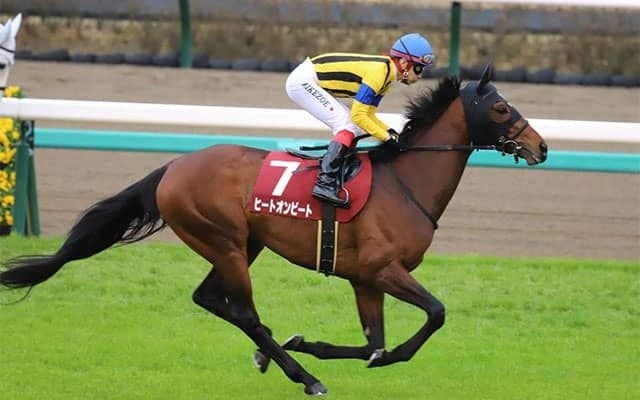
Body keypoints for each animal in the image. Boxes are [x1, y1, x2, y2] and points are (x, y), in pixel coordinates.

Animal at [0, 65, 547, 396]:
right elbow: (434, 314)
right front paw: (366, 358)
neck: (404, 183)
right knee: (243, 310)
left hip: (245, 243)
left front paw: (314, 344)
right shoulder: (383, 270)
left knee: (209, 299)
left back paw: (277, 357)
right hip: (224, 241)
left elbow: (372, 343)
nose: (540, 146)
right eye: (501, 108)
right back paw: (302, 376)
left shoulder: (364, 279)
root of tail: (173, 167)